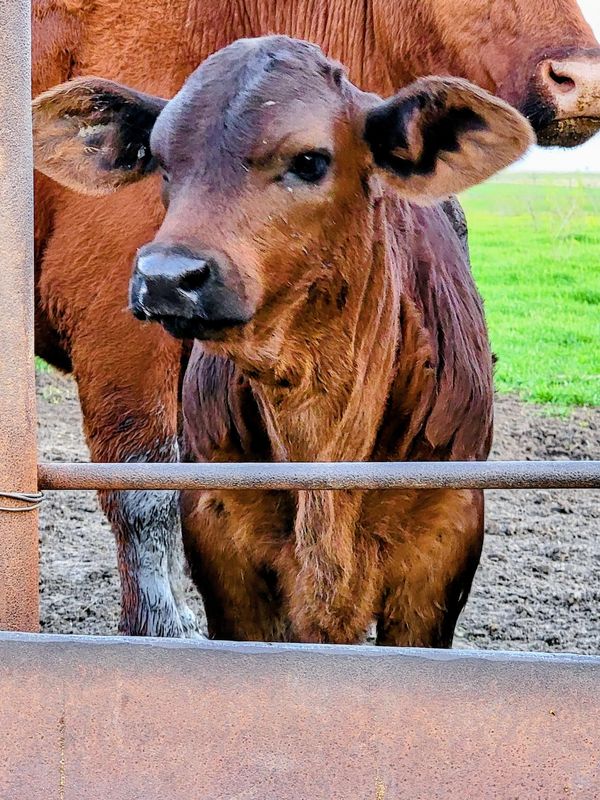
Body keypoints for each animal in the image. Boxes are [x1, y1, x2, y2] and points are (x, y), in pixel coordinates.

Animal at [32, 0, 600, 637]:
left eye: (310, 161)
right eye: (160, 161)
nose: (582, 81)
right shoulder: (114, 327)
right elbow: (143, 492)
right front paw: (162, 627)